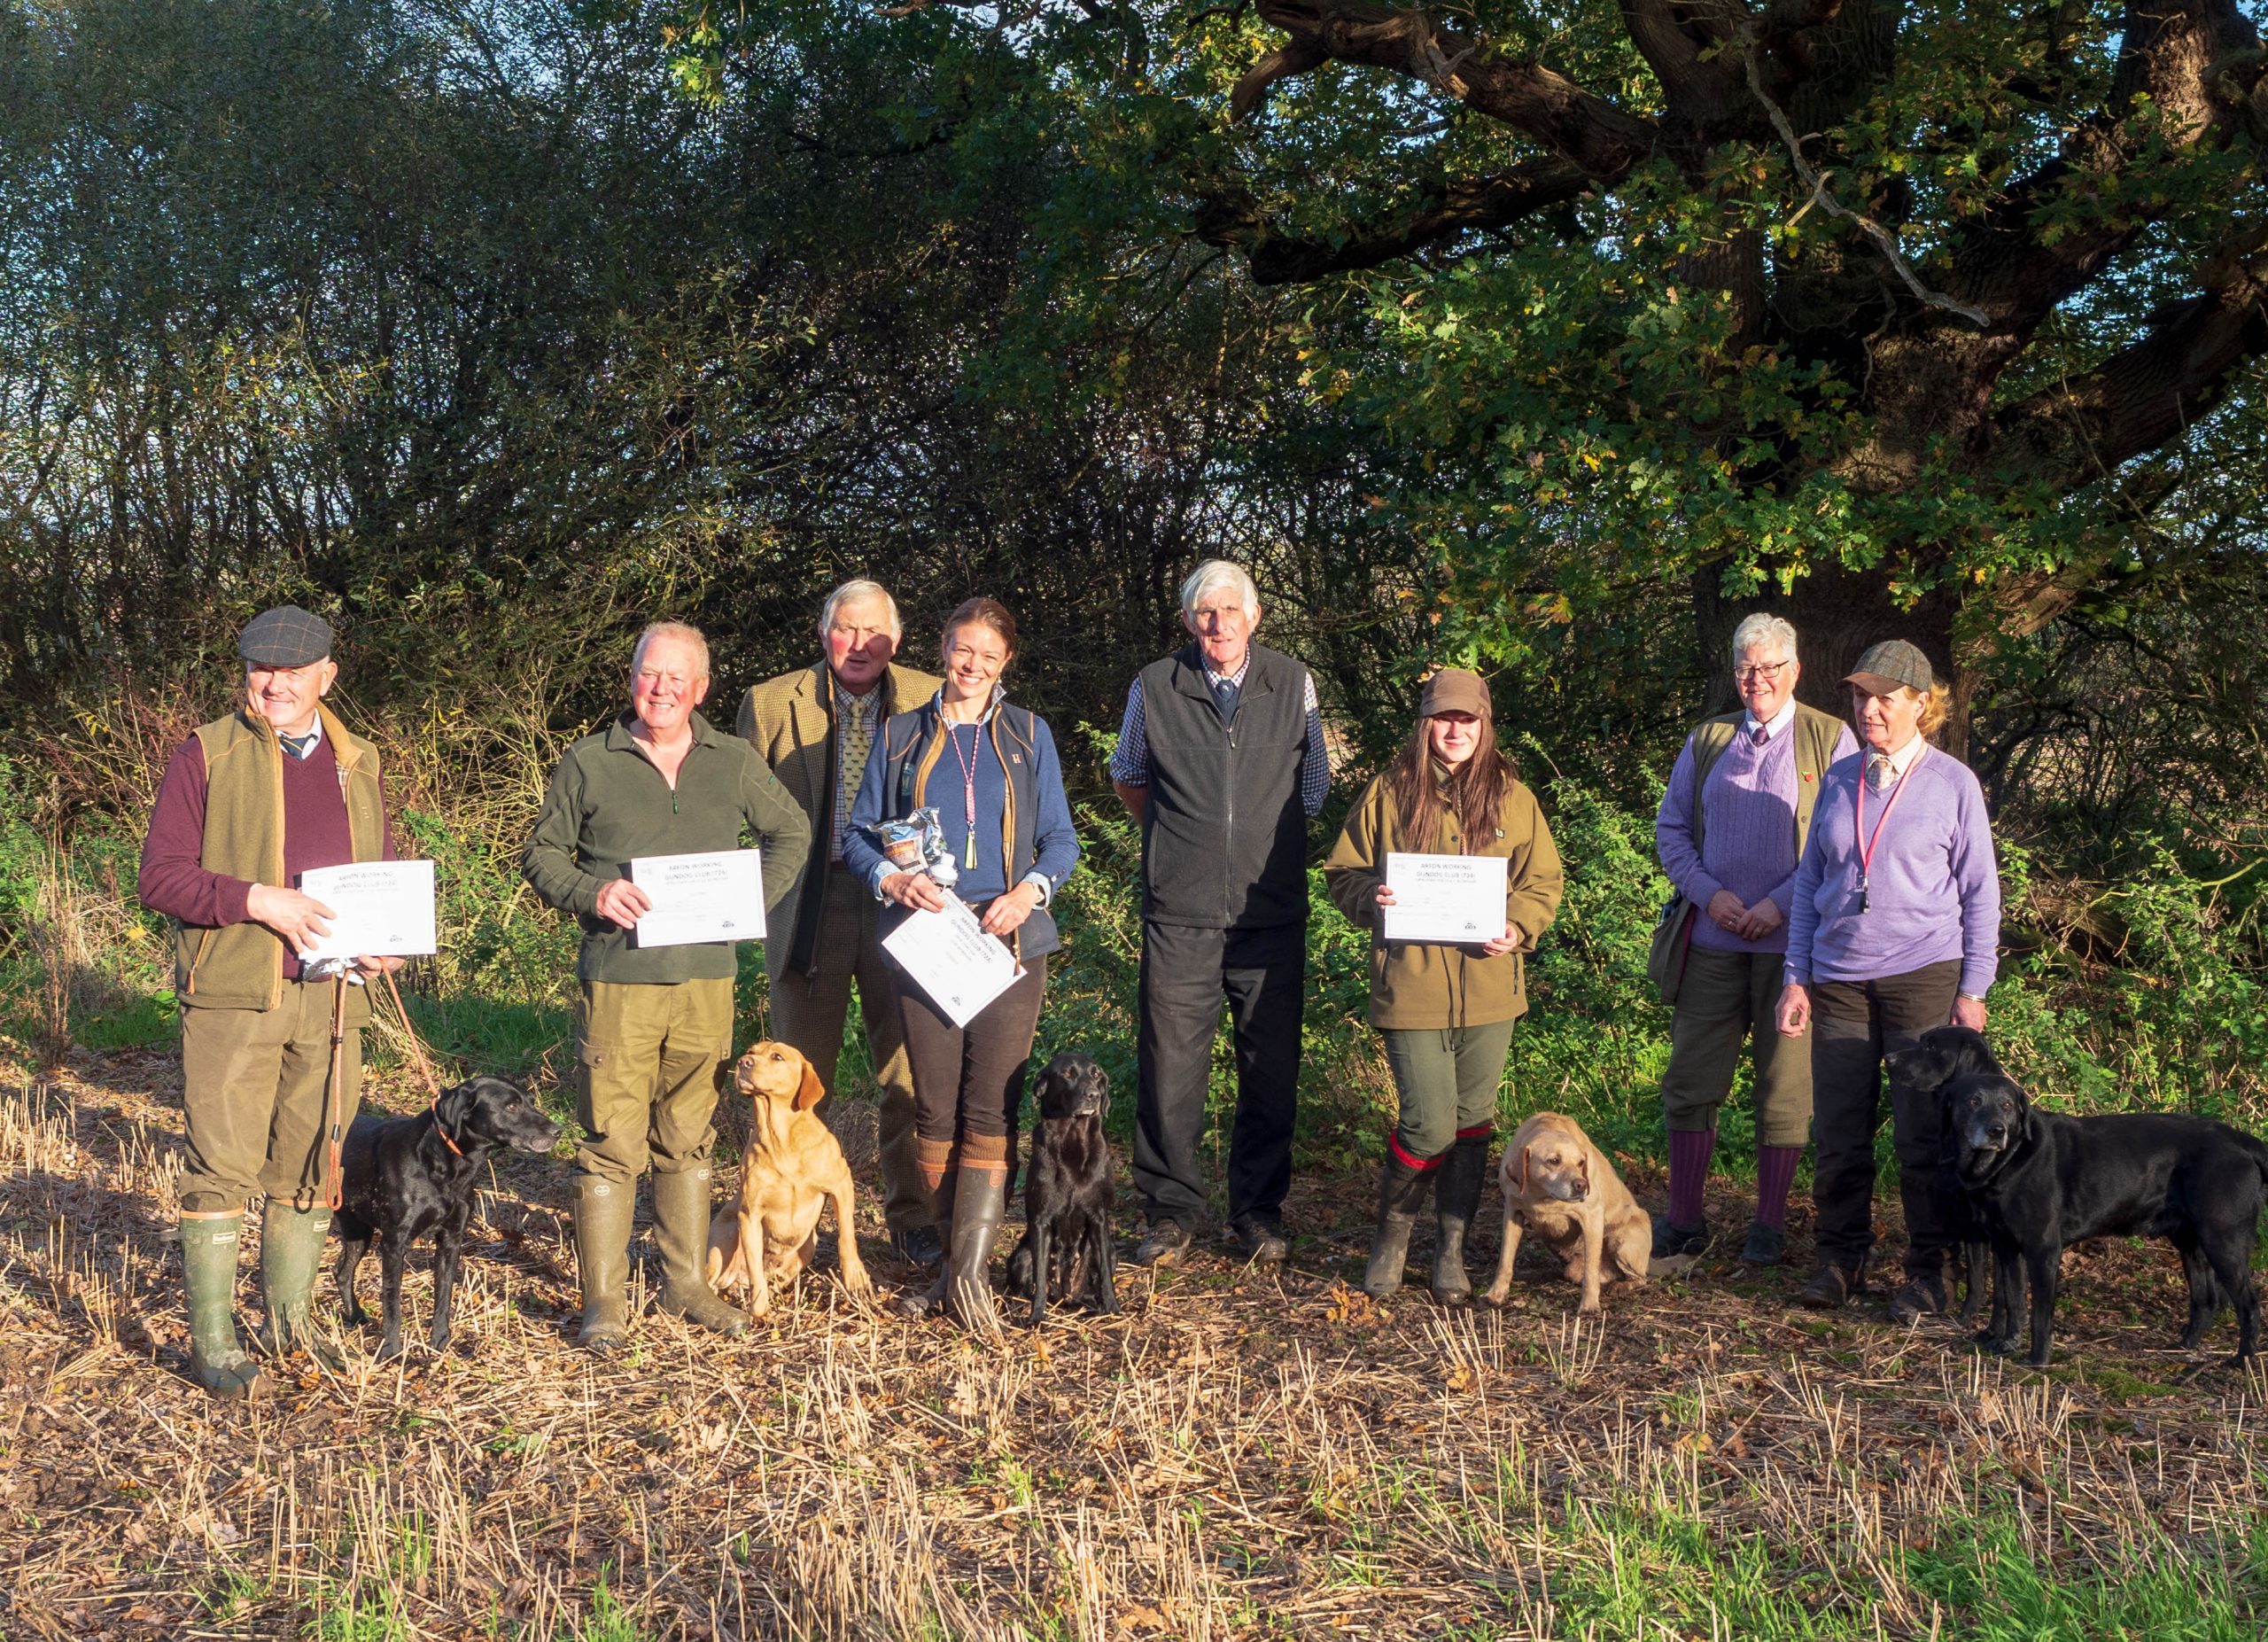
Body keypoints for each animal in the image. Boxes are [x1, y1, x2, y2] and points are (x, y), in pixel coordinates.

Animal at [330, 1079, 562, 1360]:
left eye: (530, 1101)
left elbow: (443, 1297)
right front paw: (391, 1350)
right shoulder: (395, 1244)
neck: (441, 1162)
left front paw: (440, 1342)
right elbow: (392, 1304)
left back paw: (355, 1317)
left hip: (358, 1229)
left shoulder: (451, 1240)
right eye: (511, 1106)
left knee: (342, 1272)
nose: (558, 1131)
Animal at [1006, 1056, 1120, 1324]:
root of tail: (1065, 1295)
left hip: (1110, 1252)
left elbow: (1106, 1276)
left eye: (1097, 1074)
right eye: (1068, 1073)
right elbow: (1039, 1278)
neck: (1073, 1140)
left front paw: (1112, 1308)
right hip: (1020, 1256)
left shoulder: (1099, 1217)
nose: (1094, 1095)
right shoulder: (1040, 1221)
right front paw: (1036, 1316)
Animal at [1877, 1020, 2023, 1324]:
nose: (1889, 1059)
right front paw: (1965, 1319)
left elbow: (2002, 1287)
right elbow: (1976, 1279)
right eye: (1922, 1040)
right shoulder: (1971, 1224)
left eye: (1932, 1047)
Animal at [1932, 1070, 2268, 1369]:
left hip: (2223, 1239)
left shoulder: (2043, 1249)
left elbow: (2040, 1313)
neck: (2010, 1158)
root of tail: (2240, 1140)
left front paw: (2038, 1359)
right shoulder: (2005, 1247)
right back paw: (2183, 1345)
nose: (1996, 1130)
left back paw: (2242, 1360)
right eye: (1973, 1101)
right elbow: (2012, 1301)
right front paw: (2005, 1344)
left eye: (2007, 1105)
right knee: (2206, 1300)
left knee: (2249, 1304)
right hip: (2190, 1243)